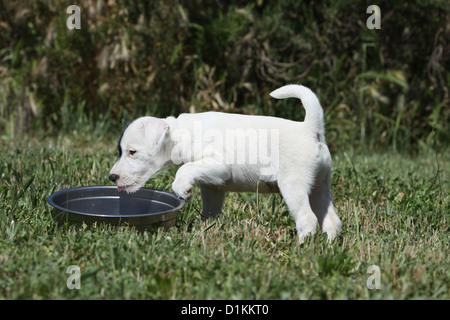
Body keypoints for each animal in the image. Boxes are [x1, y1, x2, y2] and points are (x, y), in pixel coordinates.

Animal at [109, 85, 342, 242]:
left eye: (132, 152)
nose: (112, 177)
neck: (181, 132)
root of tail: (311, 129)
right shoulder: (212, 185)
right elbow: (210, 209)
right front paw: (205, 228)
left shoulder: (218, 166)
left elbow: (185, 169)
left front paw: (181, 188)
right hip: (320, 187)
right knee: (331, 221)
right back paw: (328, 247)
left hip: (293, 186)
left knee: (307, 219)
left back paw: (301, 248)